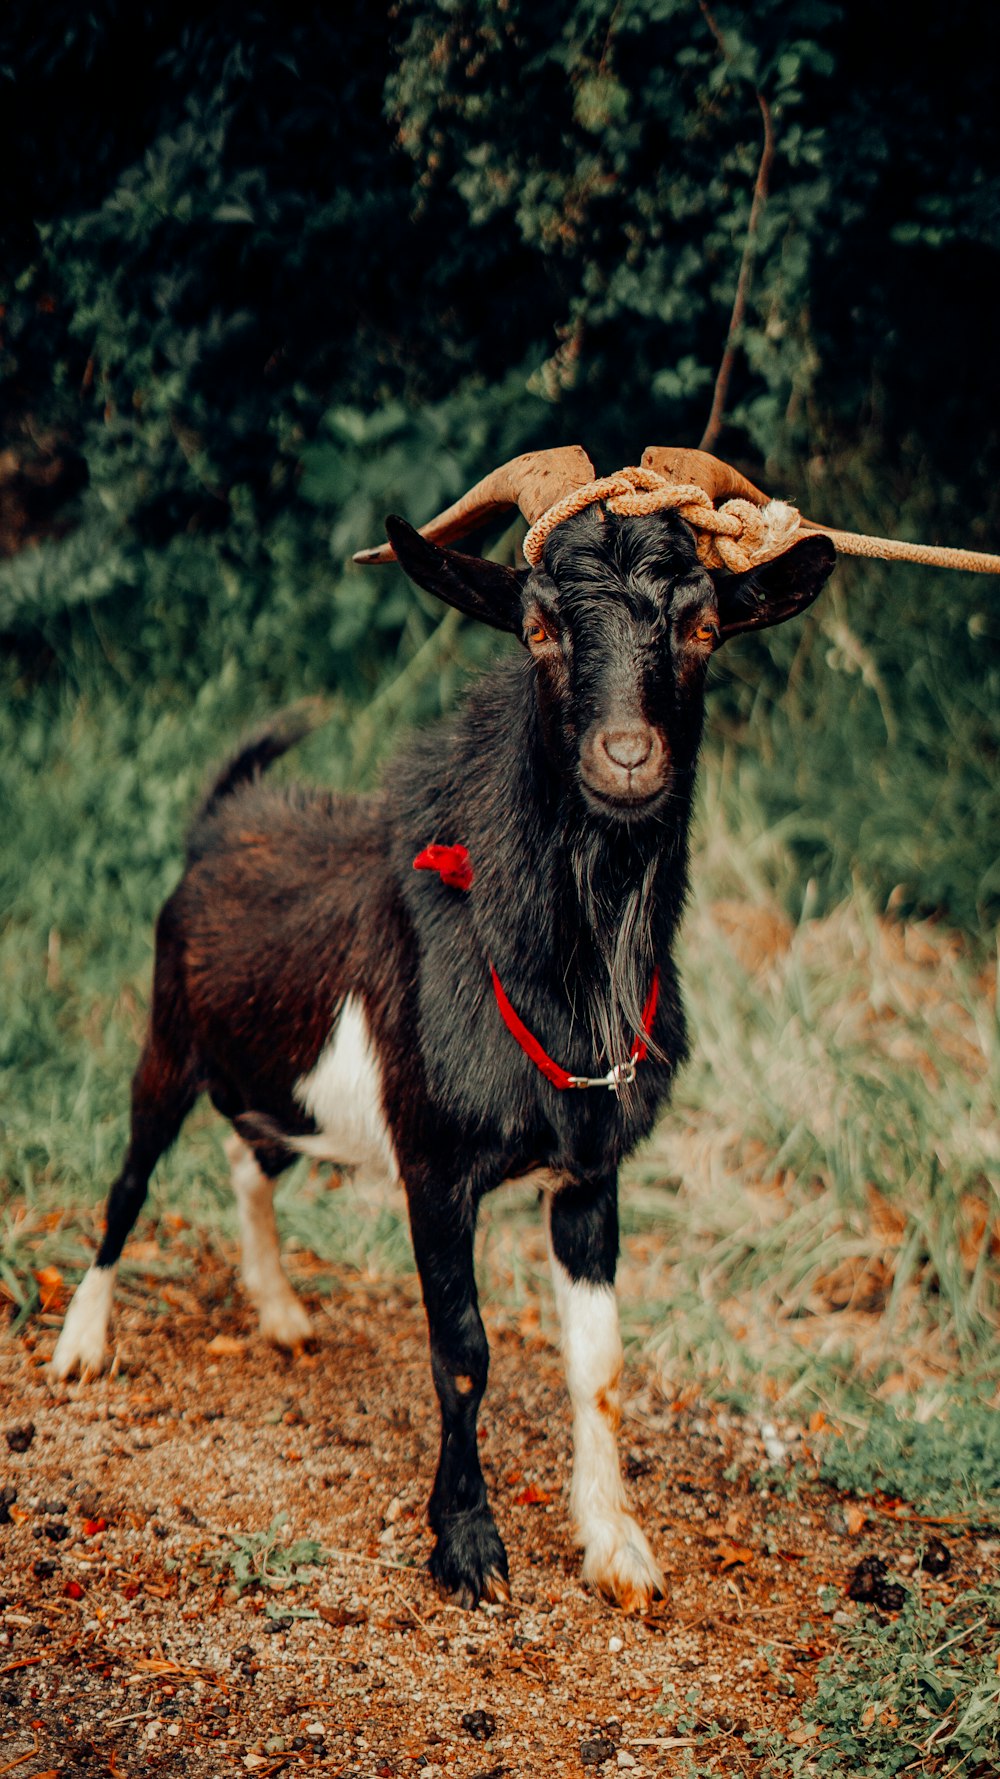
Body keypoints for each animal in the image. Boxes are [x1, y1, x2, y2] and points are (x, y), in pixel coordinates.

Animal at [54, 448, 832, 1615]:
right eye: (538, 627)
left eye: (702, 627)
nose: (626, 756)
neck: (554, 967)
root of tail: (219, 822)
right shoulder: (434, 1167)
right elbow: (463, 1350)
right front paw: (467, 1546)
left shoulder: (589, 1175)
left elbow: (598, 1364)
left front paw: (615, 1544)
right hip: (169, 1039)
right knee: (129, 1179)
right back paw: (83, 1341)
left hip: (279, 1080)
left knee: (249, 1156)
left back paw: (279, 1309)